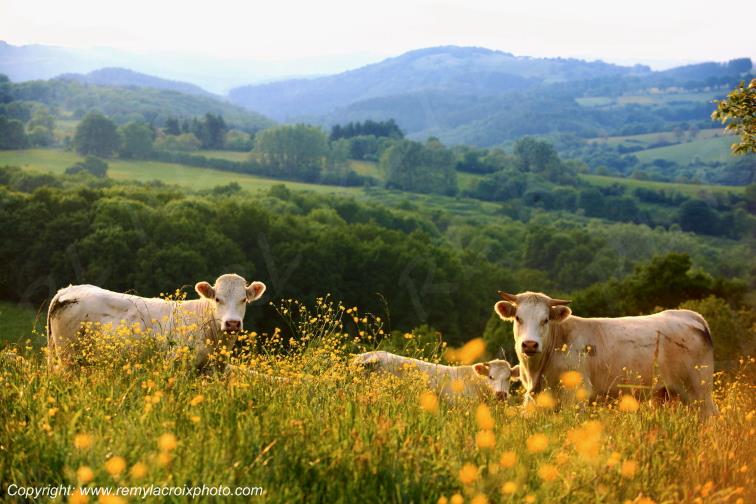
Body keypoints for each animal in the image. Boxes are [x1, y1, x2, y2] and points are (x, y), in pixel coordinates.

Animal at [493, 291, 718, 417]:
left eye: (545, 320)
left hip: (698, 391)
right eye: (518, 318)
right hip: (666, 395)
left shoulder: (577, 396)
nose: (530, 344)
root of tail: (690, 316)